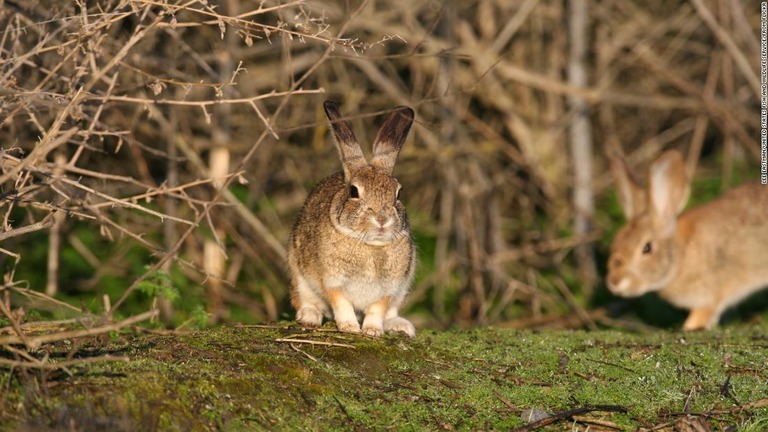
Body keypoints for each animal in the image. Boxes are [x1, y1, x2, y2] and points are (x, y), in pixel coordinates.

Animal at [288, 101, 416, 338]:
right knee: (305, 300)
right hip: (299, 275)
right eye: (354, 191)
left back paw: (400, 326)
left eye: (398, 193)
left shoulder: (389, 289)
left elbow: (377, 309)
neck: (371, 245)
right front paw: (349, 327)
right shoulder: (332, 281)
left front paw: (372, 331)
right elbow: (341, 304)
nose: (382, 219)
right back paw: (309, 316)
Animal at [608, 149, 768, 330]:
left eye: (647, 248)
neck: (681, 254)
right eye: (617, 239)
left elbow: (701, 316)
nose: (614, 282)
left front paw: (689, 328)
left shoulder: (711, 295)